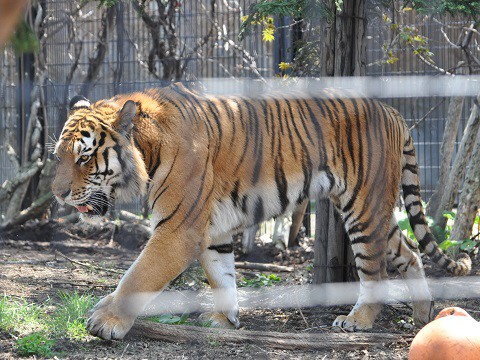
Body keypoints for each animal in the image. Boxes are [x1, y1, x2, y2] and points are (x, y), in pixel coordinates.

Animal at [50, 82, 470, 340]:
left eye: (84, 158)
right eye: (58, 156)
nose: (57, 195)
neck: (149, 152)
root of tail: (391, 110)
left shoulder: (178, 230)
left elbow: (138, 276)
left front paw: (105, 321)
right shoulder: (212, 230)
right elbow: (221, 275)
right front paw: (225, 319)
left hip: (364, 209)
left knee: (376, 270)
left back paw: (357, 321)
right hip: (376, 210)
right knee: (410, 253)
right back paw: (422, 315)